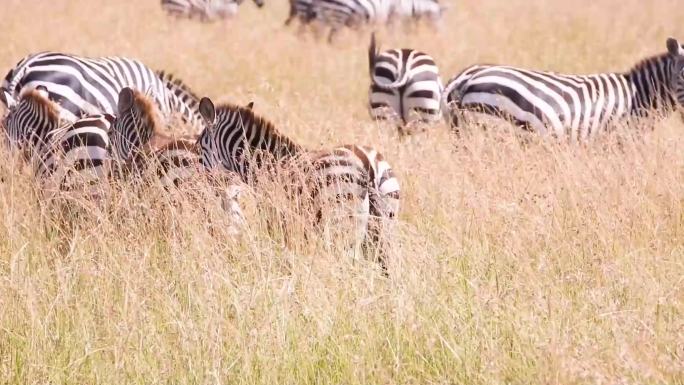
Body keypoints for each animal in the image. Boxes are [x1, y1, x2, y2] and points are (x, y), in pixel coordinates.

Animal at [195, 96, 400, 264]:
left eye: (199, 148)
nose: (200, 187)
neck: (267, 164)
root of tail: (367, 162)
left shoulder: (274, 213)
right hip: (384, 224)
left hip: (343, 219)